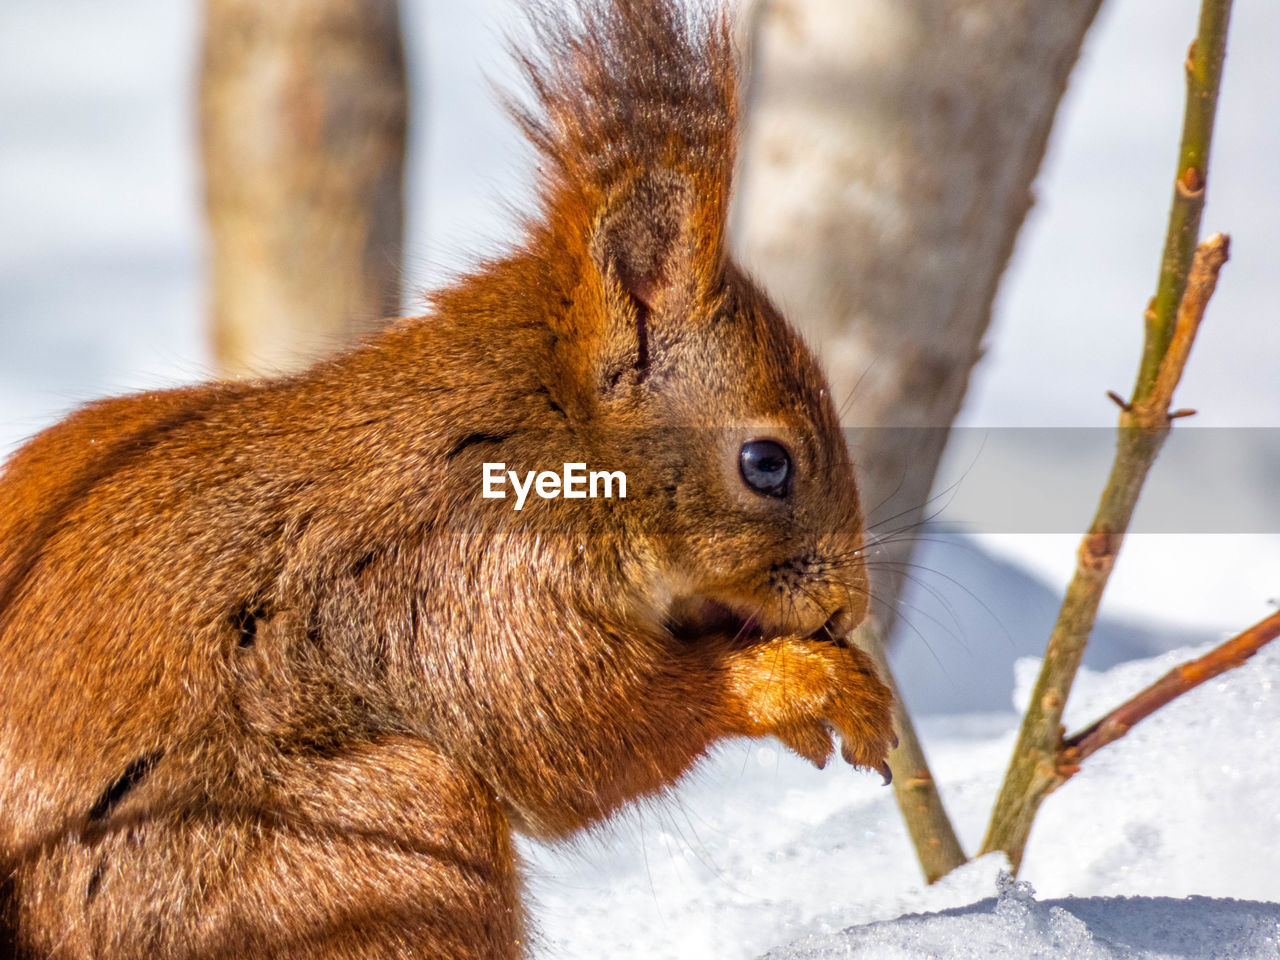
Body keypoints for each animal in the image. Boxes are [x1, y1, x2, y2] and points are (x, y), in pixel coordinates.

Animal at [0, 3, 896, 957]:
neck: (547, 428)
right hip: (365, 851)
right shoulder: (475, 578)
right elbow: (576, 733)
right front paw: (797, 682)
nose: (847, 609)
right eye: (767, 464)